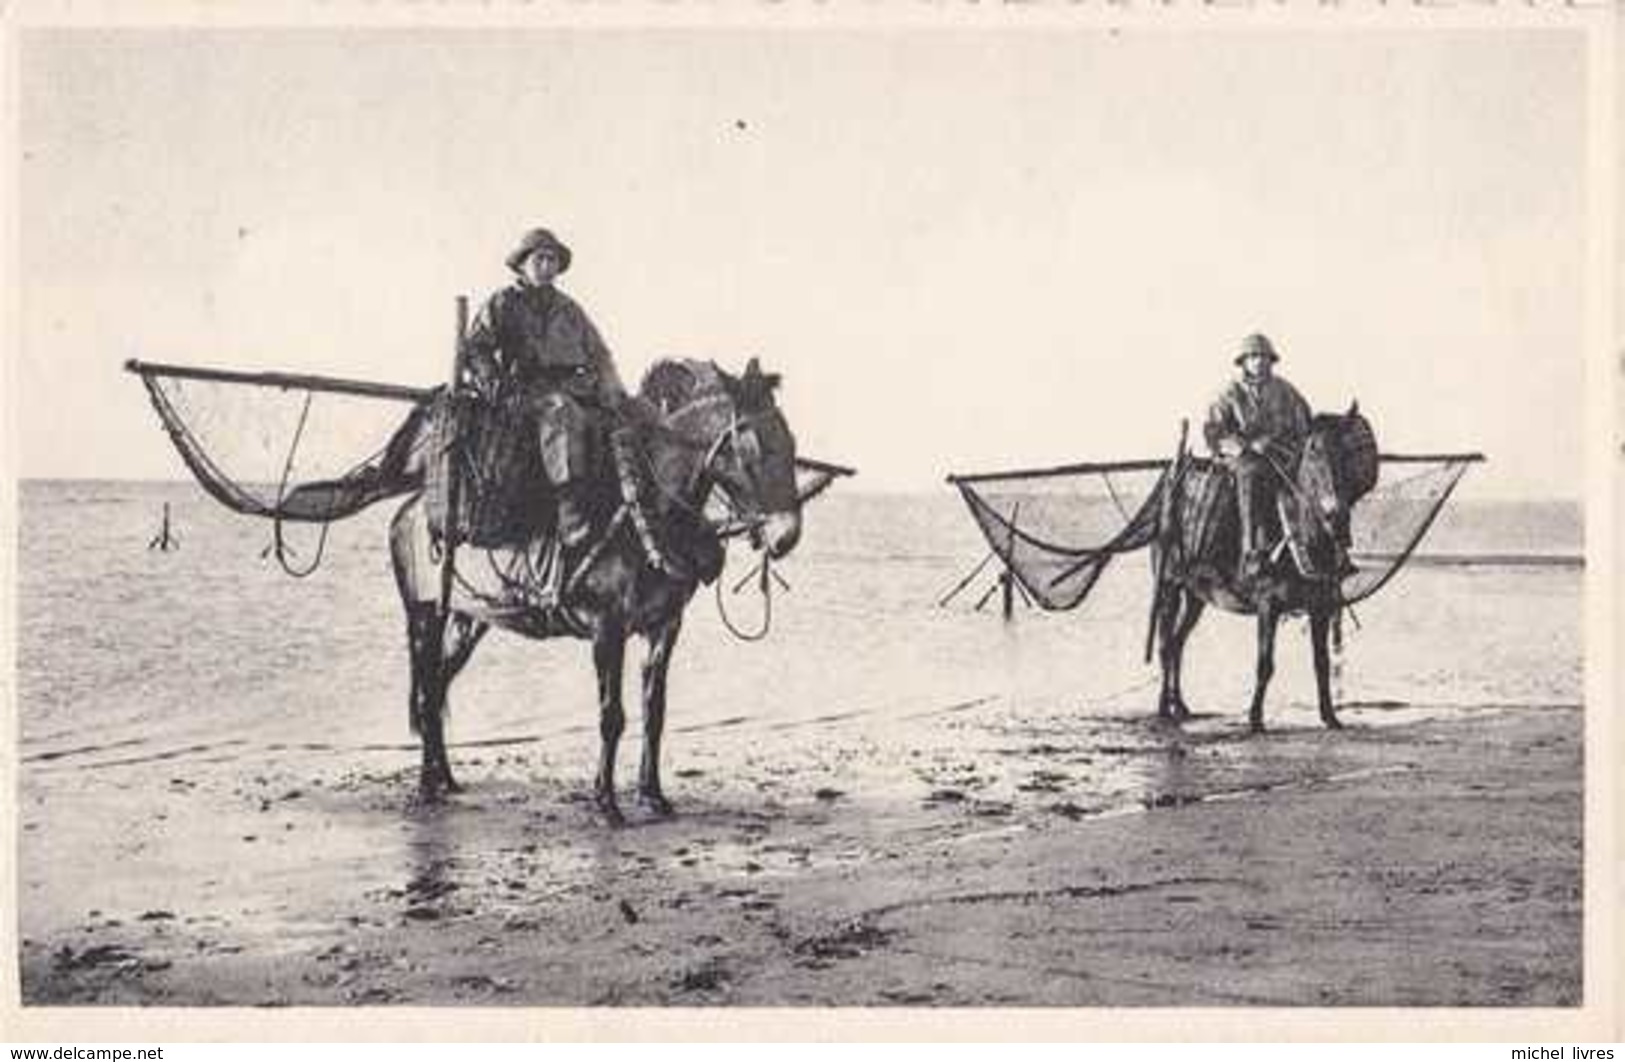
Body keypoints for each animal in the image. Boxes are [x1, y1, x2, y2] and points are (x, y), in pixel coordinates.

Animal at [375, 357, 806, 824]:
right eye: (754, 447)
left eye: (791, 441)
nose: (786, 536)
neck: (642, 517)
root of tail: (410, 509)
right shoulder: (607, 628)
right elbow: (611, 716)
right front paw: (606, 803)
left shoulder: (664, 627)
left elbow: (654, 711)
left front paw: (653, 795)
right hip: (424, 615)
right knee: (425, 693)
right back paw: (425, 787)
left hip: (467, 619)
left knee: (437, 687)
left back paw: (446, 780)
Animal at [1150, 404, 1378, 737]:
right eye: (1313, 450)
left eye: (1347, 451)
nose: (1335, 514)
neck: (1296, 536)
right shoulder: (1267, 606)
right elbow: (1265, 663)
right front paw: (1255, 719)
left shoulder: (1320, 606)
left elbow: (1321, 662)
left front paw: (1330, 717)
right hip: (1170, 586)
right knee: (1166, 643)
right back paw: (1163, 708)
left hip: (1197, 596)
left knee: (1178, 643)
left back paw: (1180, 706)